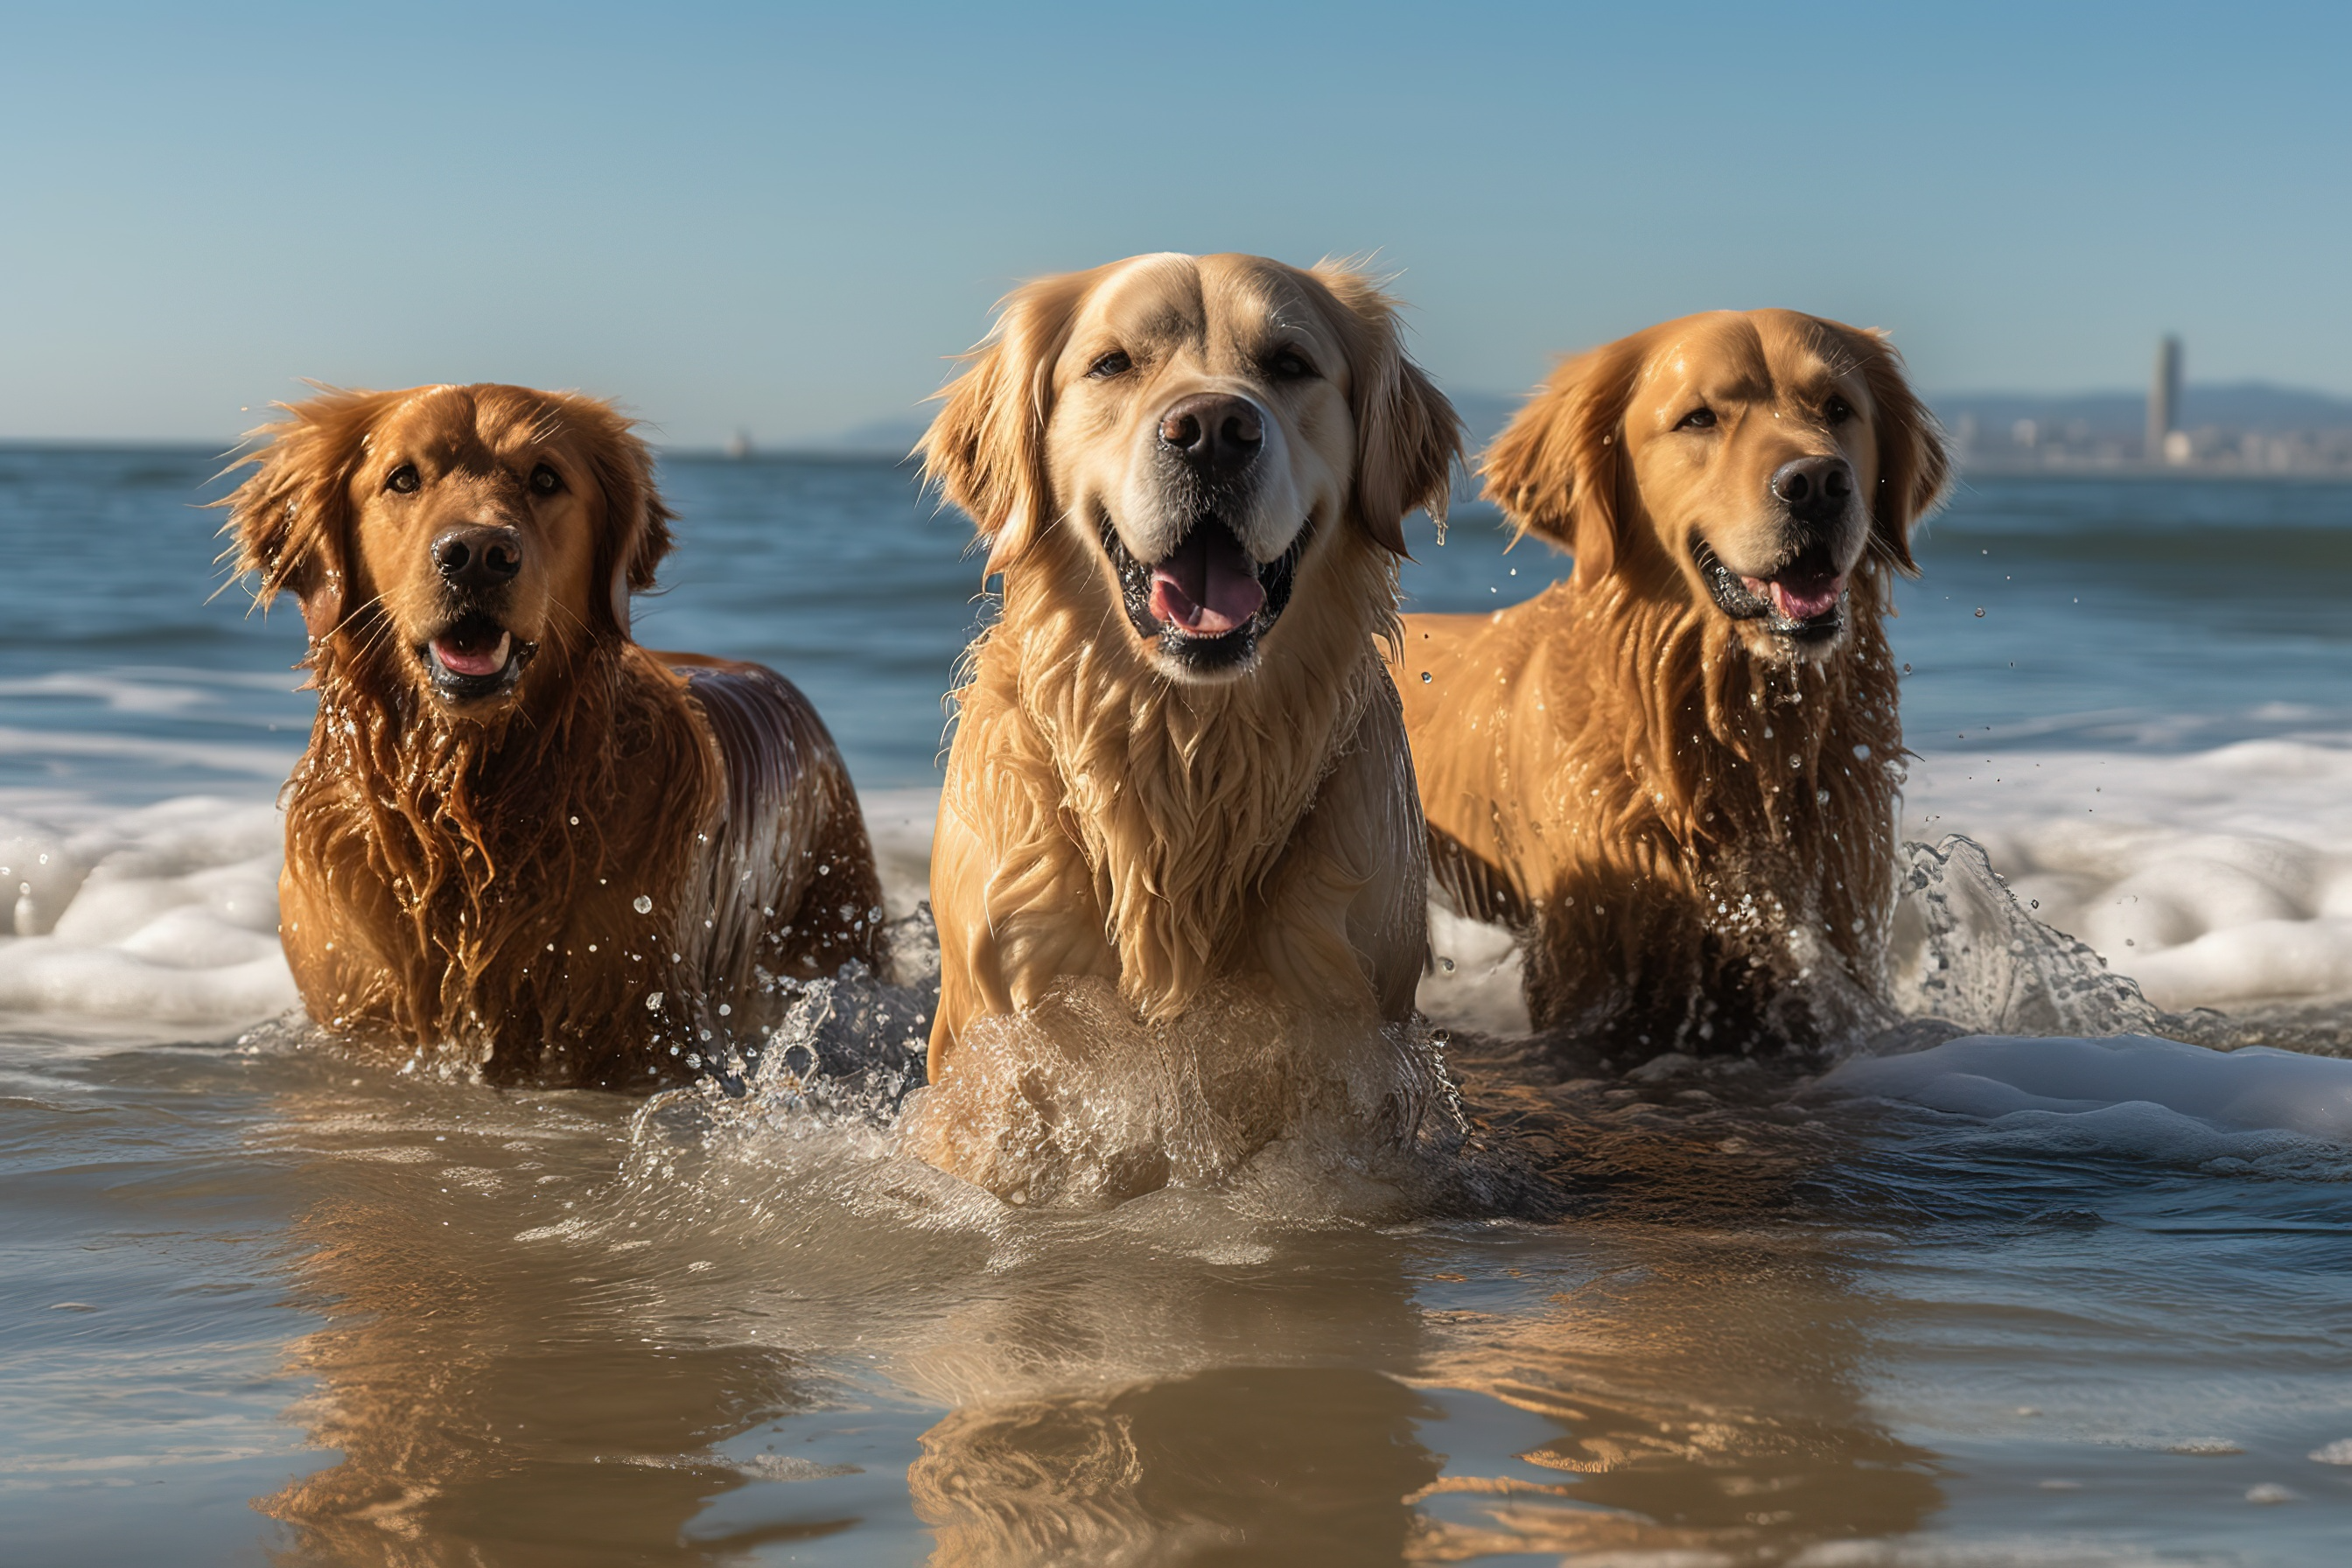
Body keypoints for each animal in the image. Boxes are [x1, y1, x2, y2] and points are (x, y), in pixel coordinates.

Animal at [227, 385, 884, 1086]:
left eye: (545, 478)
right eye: (403, 478)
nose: (478, 555)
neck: (477, 809)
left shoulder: (642, 1023)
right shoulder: (362, 1017)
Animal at [907, 257, 1458, 1189]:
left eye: (1289, 364)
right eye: (1112, 364)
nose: (1211, 431)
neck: (1184, 750)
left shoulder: (1345, 1035)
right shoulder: (1009, 1047)